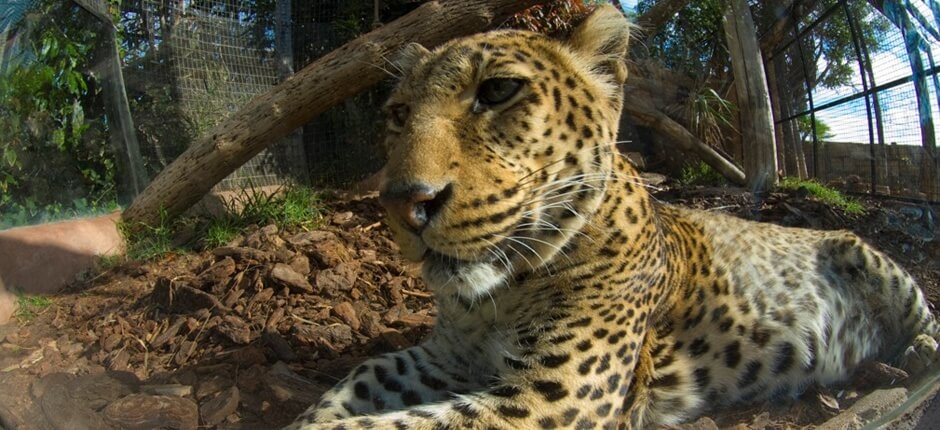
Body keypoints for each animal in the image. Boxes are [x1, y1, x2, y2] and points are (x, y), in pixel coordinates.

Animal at [286, 4, 940, 430]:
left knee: (923, 314)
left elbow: (390, 426)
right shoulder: (447, 357)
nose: (403, 202)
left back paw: (918, 355)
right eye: (398, 114)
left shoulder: (553, 396)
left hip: (862, 249)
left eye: (497, 91)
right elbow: (357, 381)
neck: (497, 296)